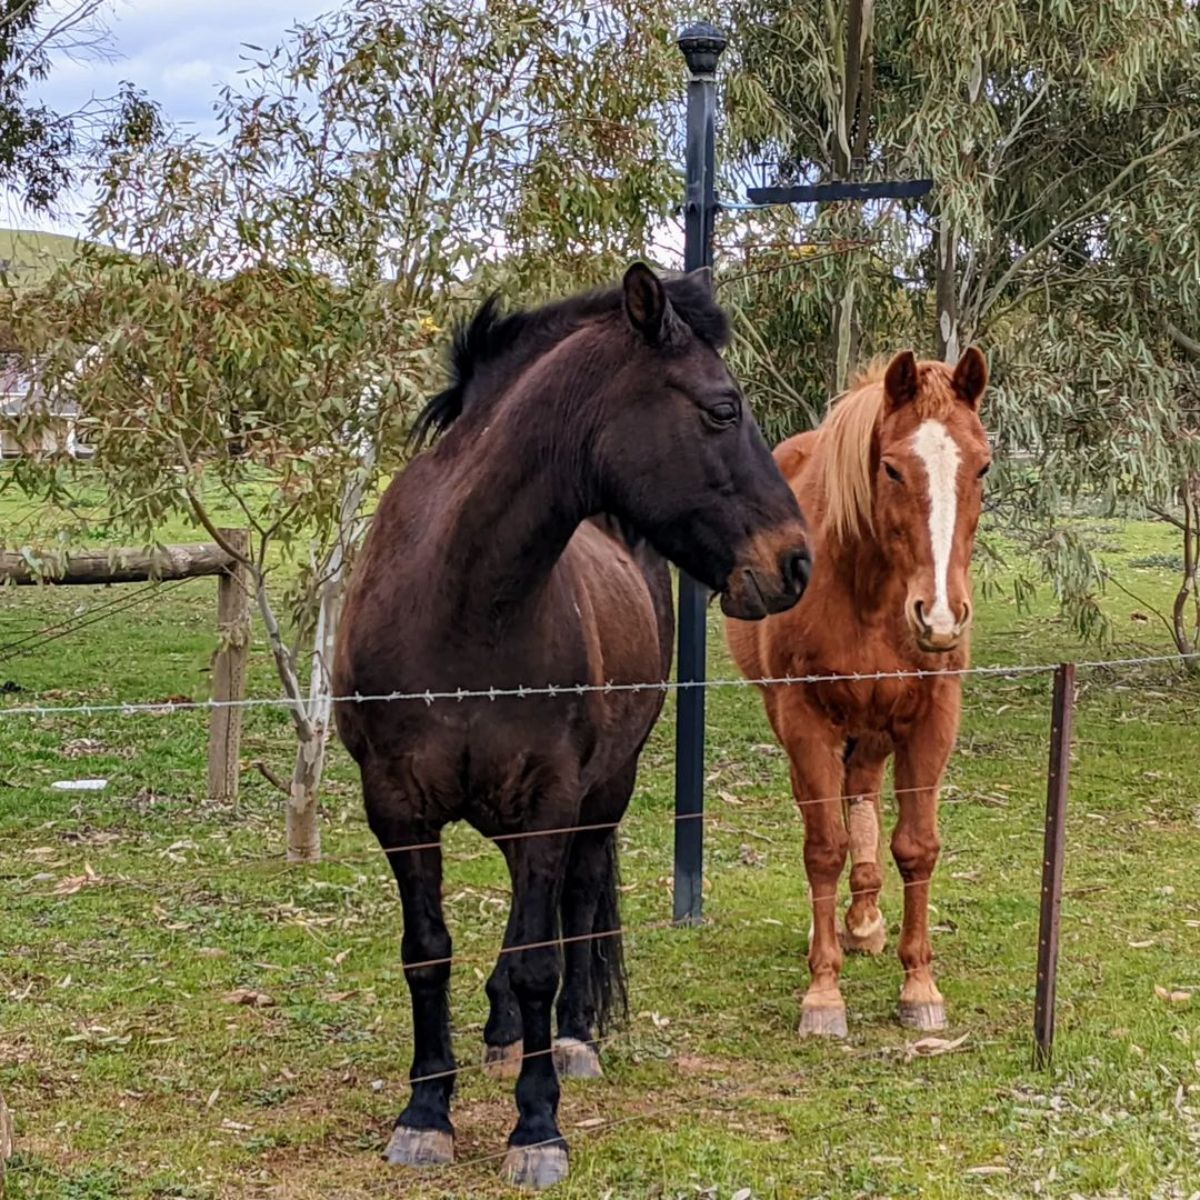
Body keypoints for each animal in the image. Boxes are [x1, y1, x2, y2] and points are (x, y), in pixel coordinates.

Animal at [333, 265, 811, 1190]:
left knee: (580, 903)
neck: (461, 604)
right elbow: (426, 951)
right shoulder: (396, 807)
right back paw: (500, 1035)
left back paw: (574, 1037)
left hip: (602, 792)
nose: (797, 563)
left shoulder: (553, 798)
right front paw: (426, 1113)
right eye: (722, 409)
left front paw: (537, 1126)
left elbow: (539, 961)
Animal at [724, 350, 988, 1041]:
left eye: (982, 465)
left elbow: (917, 847)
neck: (868, 591)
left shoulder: (932, 717)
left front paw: (919, 984)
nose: (940, 617)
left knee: (863, 794)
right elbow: (823, 849)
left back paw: (866, 917)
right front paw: (823, 993)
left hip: (873, 727)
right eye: (892, 467)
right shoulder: (806, 718)